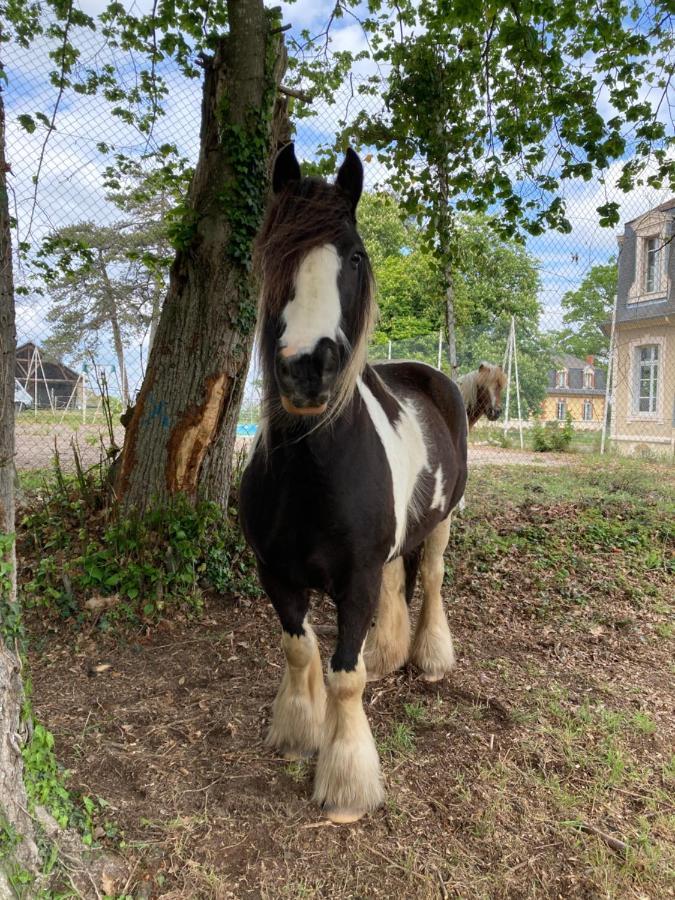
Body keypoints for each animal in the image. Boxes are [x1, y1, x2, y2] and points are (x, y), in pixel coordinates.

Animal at [240, 144, 468, 828]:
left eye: (357, 255)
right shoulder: (276, 573)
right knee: (400, 580)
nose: (307, 367)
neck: (312, 473)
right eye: (273, 250)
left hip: (445, 518)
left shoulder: (355, 579)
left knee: (434, 579)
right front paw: (298, 731)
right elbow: (300, 650)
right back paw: (390, 652)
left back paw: (428, 659)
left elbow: (345, 675)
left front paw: (346, 785)